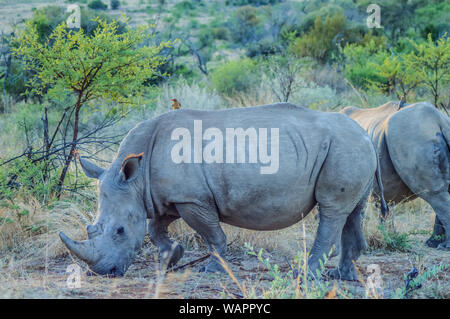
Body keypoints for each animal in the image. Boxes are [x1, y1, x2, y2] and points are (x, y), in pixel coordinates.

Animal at [60, 104, 386, 282]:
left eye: (120, 231)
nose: (104, 272)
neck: (135, 178)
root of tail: (364, 131)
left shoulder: (192, 199)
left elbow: (212, 235)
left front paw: (211, 269)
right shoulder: (164, 196)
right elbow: (155, 228)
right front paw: (172, 256)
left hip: (344, 147)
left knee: (331, 210)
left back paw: (307, 275)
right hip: (351, 147)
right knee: (352, 210)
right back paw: (341, 276)